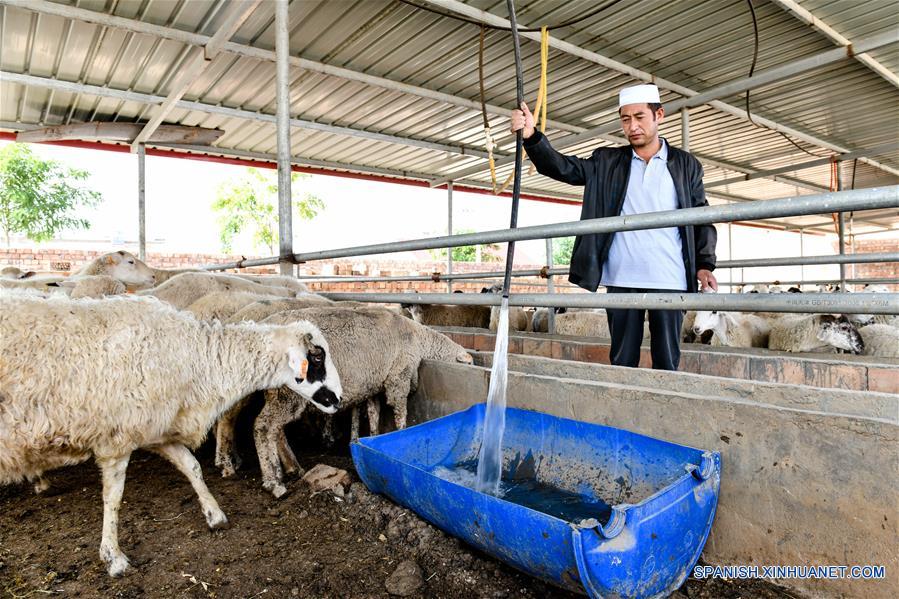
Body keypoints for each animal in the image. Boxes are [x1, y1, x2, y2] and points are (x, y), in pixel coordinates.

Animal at [0, 296, 344, 576]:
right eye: (316, 358)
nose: (339, 399)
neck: (197, 360)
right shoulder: (116, 441)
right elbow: (113, 497)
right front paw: (113, 557)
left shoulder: (158, 431)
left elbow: (192, 467)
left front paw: (214, 514)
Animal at [215, 308, 474, 500]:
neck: (420, 340)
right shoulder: (398, 379)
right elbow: (400, 413)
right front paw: (401, 437)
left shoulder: (373, 384)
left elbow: (374, 413)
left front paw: (373, 439)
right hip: (288, 392)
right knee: (263, 426)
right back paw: (272, 481)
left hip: (275, 391)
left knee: (271, 429)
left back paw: (285, 468)